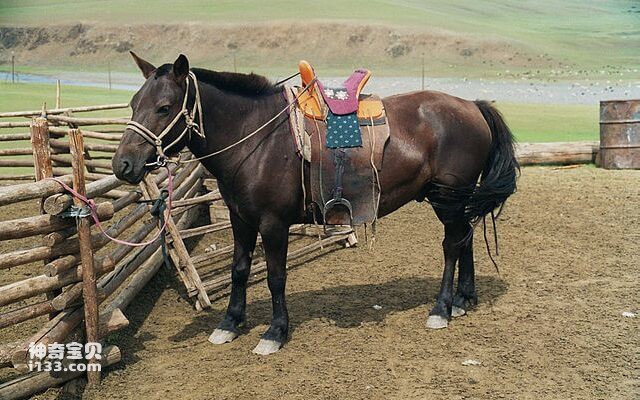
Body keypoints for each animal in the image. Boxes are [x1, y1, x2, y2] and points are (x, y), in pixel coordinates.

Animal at [112, 53, 516, 356]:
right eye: (133, 104)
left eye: (164, 107)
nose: (123, 165)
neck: (256, 136)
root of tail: (472, 106)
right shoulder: (241, 219)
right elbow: (239, 269)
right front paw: (229, 323)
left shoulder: (273, 223)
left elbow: (275, 276)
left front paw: (274, 332)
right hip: (456, 200)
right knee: (464, 239)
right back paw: (463, 300)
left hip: (447, 196)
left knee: (451, 246)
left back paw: (442, 308)